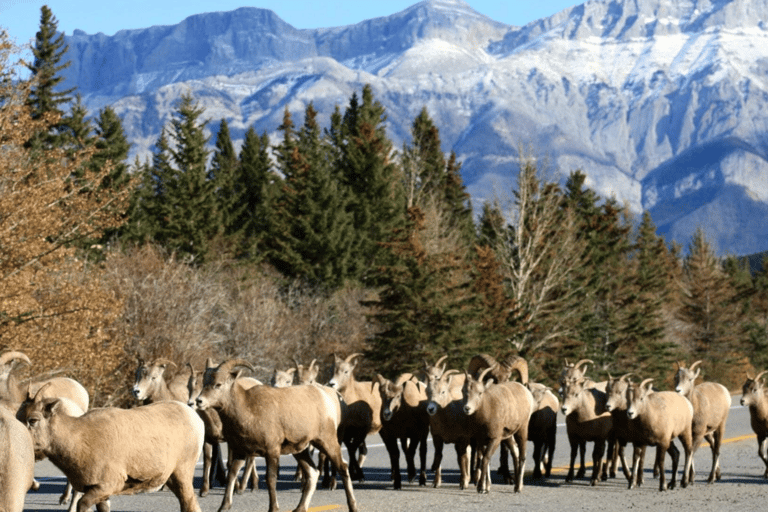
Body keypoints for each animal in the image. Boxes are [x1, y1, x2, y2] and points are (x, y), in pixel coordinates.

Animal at [25, 390, 206, 510]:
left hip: (182, 473)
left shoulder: (107, 485)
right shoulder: (100, 492)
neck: (79, 441)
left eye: (33, 420)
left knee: (190, 503)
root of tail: (196, 419)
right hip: (170, 478)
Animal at [195, 358, 356, 512]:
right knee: (313, 473)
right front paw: (223, 507)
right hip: (300, 451)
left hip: (327, 442)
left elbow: (270, 479)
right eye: (205, 383)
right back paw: (299, 508)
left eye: (218, 384)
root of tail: (328, 397)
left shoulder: (272, 451)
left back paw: (352, 506)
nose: (199, 401)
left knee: (343, 467)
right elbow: (232, 475)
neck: (248, 410)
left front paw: (273, 508)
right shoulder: (241, 452)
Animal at [462, 366, 536, 494]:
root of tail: (525, 391)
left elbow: (486, 459)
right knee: (515, 453)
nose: (467, 408)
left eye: (480, 392)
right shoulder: (481, 440)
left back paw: (518, 487)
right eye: (464, 391)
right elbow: (482, 460)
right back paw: (516, 484)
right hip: (508, 437)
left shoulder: (495, 439)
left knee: (522, 456)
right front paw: (485, 487)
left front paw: (481, 488)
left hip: (522, 430)